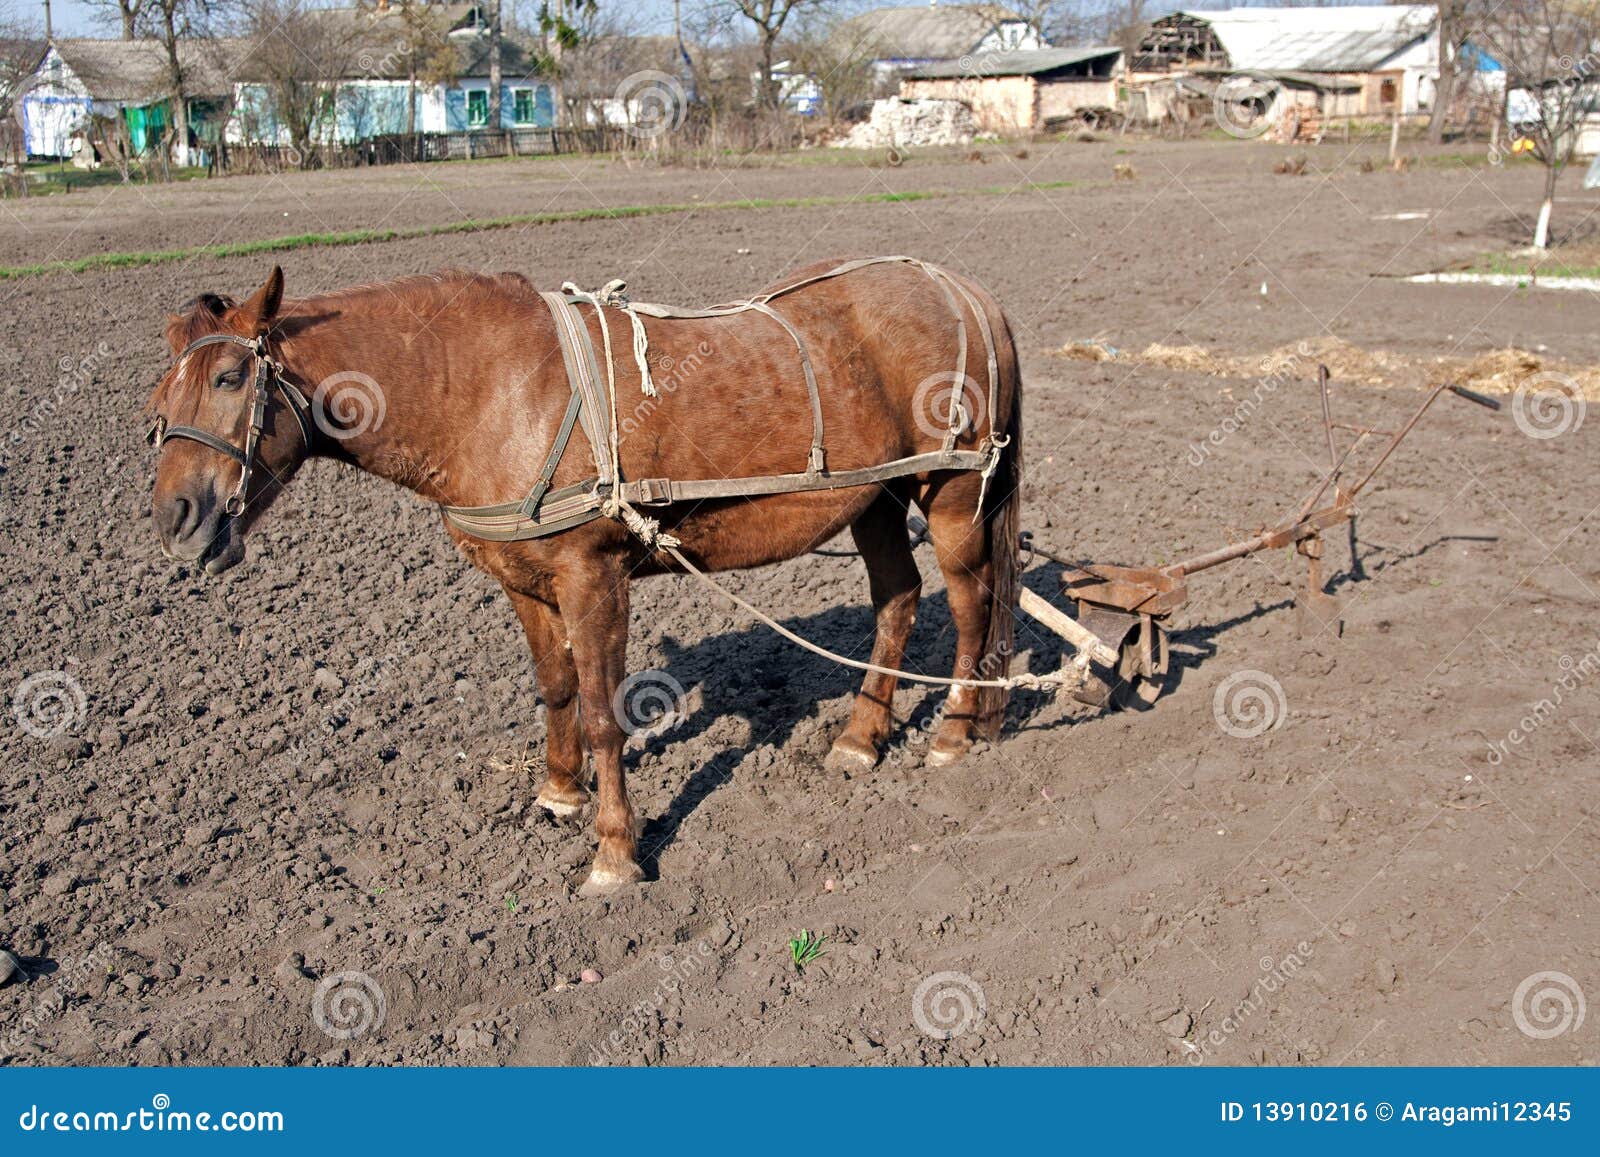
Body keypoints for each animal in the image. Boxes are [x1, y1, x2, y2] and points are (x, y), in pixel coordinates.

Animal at [146, 258, 1024, 894]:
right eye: (160, 395)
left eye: (230, 379)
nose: (175, 519)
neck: (491, 390)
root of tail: (962, 287)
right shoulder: (523, 579)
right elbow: (557, 688)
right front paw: (557, 792)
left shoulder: (593, 575)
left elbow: (604, 713)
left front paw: (613, 852)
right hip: (872, 498)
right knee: (898, 599)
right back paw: (860, 736)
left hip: (949, 495)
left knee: (970, 601)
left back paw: (953, 731)